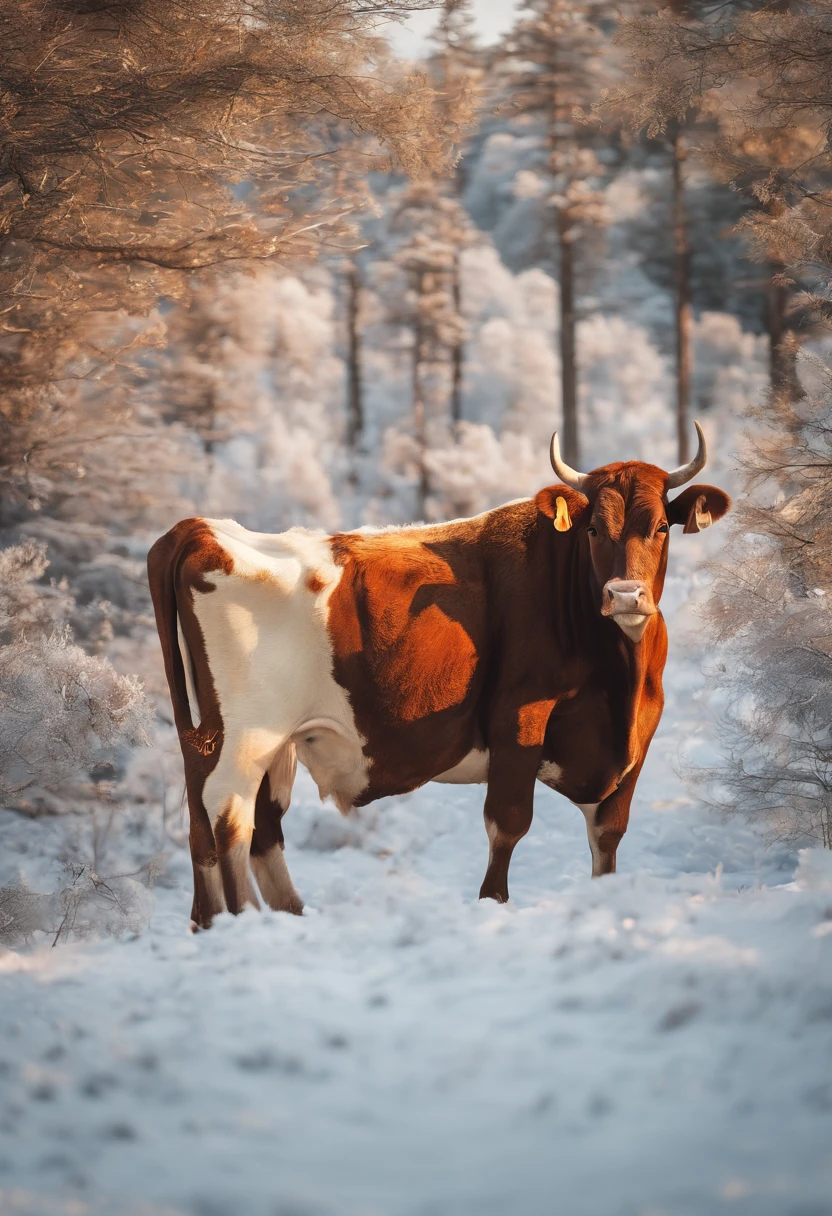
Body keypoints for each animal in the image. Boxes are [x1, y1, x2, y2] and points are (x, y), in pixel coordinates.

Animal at [147, 423, 729, 924]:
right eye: (592, 529)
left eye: (660, 527)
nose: (625, 595)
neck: (619, 683)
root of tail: (200, 531)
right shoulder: (520, 717)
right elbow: (508, 823)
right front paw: (492, 905)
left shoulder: (637, 739)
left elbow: (608, 835)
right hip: (243, 740)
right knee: (230, 823)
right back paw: (244, 921)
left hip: (226, 742)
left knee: (227, 830)